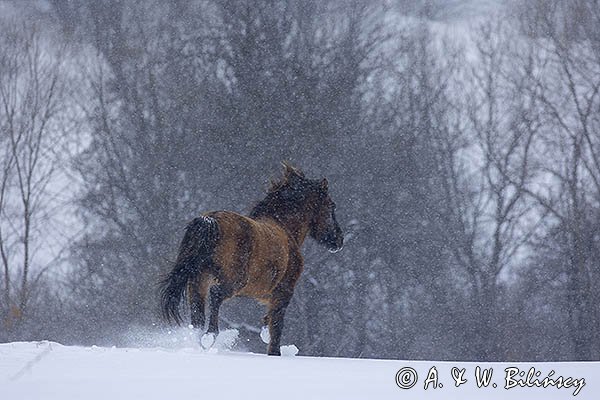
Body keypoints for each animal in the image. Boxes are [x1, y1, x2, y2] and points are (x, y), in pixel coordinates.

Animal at [159, 164, 344, 354]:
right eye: (331, 205)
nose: (339, 240)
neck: (284, 228)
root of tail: (210, 220)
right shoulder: (284, 292)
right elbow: (277, 325)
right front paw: (273, 350)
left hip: (198, 280)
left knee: (197, 313)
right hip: (233, 281)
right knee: (216, 295)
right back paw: (210, 336)